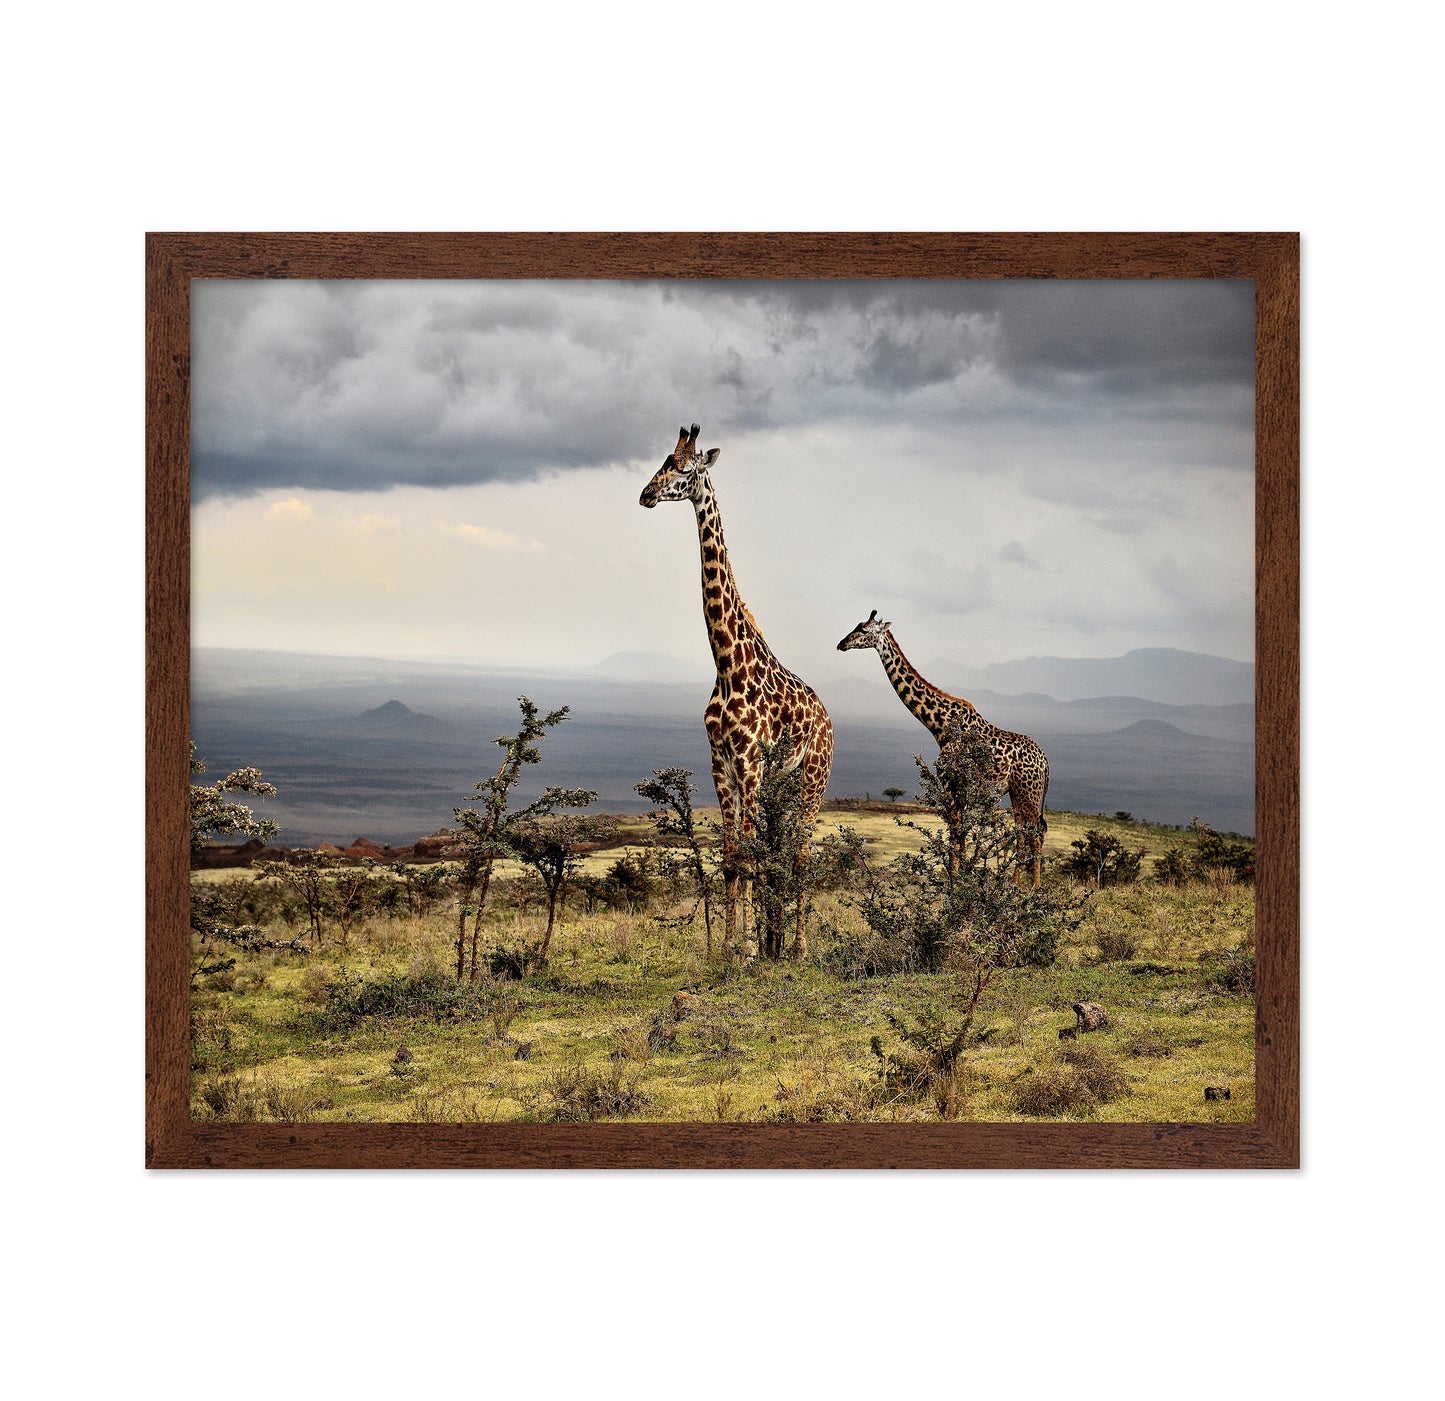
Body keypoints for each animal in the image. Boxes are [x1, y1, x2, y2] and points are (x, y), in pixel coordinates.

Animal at [640, 424, 834, 960]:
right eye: (662, 460)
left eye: (685, 469)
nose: (646, 494)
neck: (726, 663)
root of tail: (828, 717)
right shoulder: (720, 764)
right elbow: (732, 859)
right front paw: (731, 947)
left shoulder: (748, 763)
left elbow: (746, 856)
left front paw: (745, 951)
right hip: (780, 786)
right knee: (778, 850)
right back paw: (776, 941)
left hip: (812, 781)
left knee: (800, 853)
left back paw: (798, 948)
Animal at [837, 609, 1050, 886]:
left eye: (863, 630)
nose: (841, 644)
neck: (940, 724)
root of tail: (1046, 763)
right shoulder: (960, 789)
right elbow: (960, 836)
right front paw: (960, 880)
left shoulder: (951, 783)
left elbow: (955, 834)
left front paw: (954, 883)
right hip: (1017, 793)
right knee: (1024, 834)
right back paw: (1013, 885)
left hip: (1029, 793)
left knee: (1036, 834)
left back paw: (1034, 888)